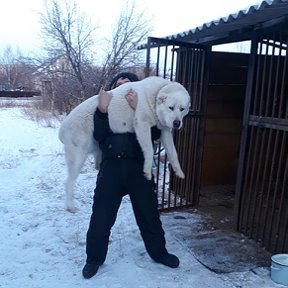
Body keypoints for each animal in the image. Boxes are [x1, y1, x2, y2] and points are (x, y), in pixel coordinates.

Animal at [58, 76, 190, 212]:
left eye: (182, 109)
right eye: (171, 107)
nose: (177, 123)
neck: (154, 98)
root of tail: (62, 128)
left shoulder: (165, 131)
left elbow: (173, 153)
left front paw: (179, 171)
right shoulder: (142, 125)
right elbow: (148, 150)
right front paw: (147, 171)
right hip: (78, 157)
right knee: (68, 183)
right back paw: (70, 206)